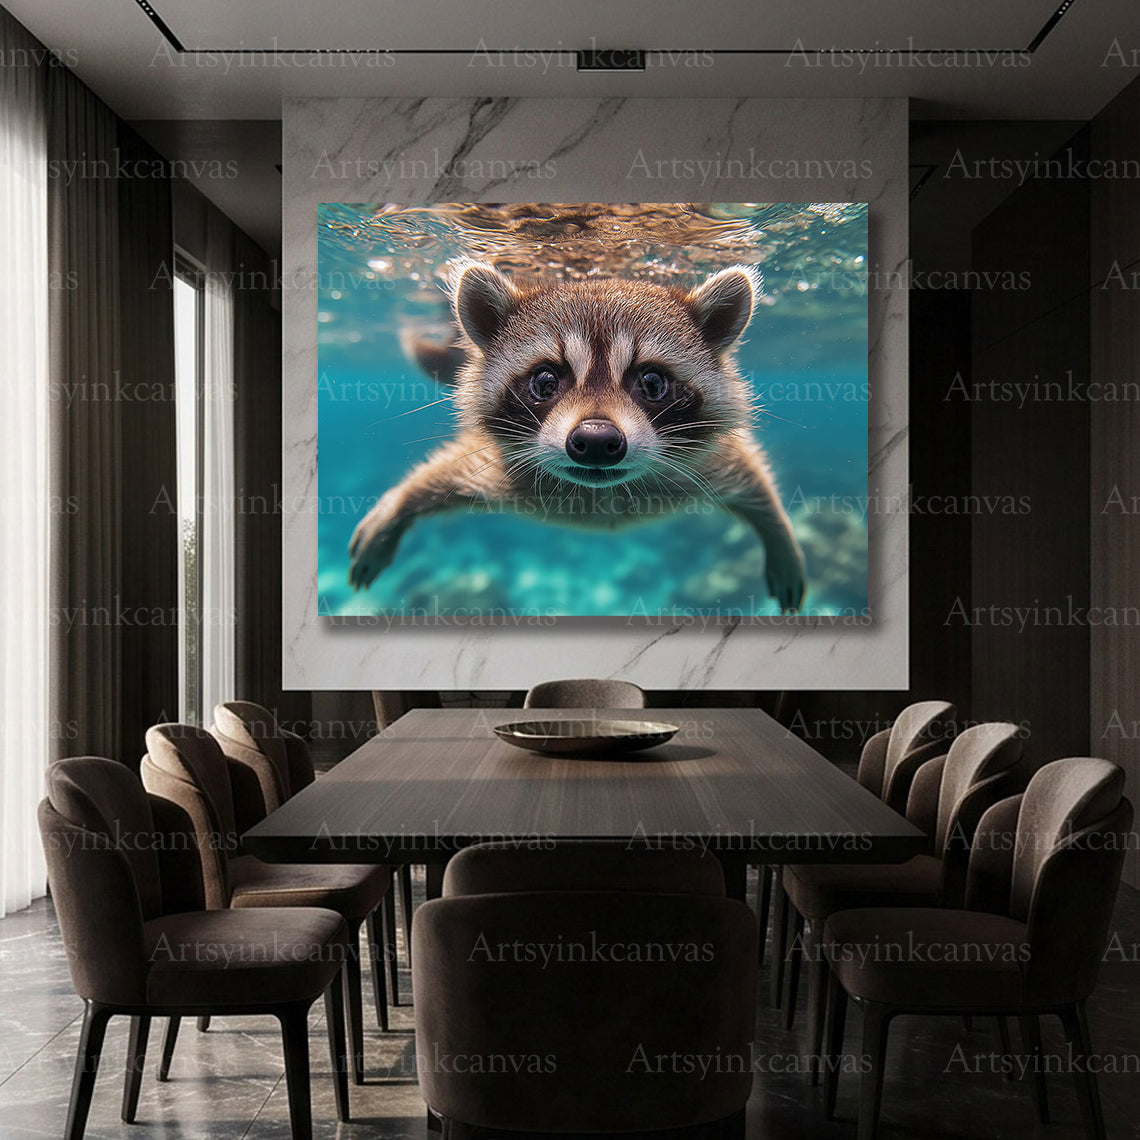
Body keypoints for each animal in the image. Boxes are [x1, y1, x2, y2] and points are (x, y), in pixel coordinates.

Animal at [349, 261, 807, 613]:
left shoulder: (694, 464)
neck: (599, 493)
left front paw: (780, 533)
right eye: (546, 380)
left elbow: (750, 475)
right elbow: (443, 471)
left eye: (653, 382)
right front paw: (399, 504)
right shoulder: (507, 469)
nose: (598, 440)